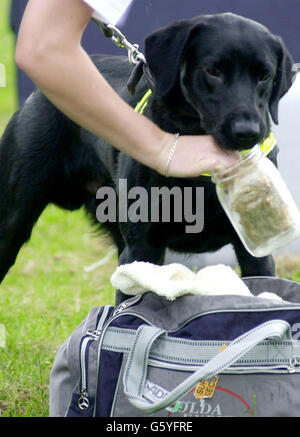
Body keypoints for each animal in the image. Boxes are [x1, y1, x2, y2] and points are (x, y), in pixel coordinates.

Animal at [0, 11, 296, 302]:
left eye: (265, 75)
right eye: (213, 71)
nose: (247, 132)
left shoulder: (256, 252)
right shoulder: (142, 250)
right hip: (13, 218)